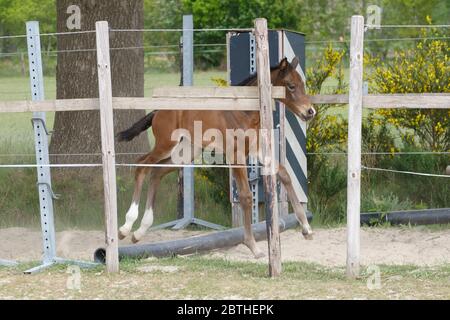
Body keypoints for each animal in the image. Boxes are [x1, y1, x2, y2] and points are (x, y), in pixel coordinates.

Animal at [118, 56, 318, 258]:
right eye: (291, 86)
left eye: (302, 84)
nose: (310, 112)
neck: (245, 112)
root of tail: (158, 111)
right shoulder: (236, 155)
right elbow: (246, 195)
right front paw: (253, 246)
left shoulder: (257, 150)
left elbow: (284, 174)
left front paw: (306, 228)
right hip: (165, 145)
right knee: (142, 165)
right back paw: (125, 227)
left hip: (187, 152)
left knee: (157, 172)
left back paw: (139, 232)